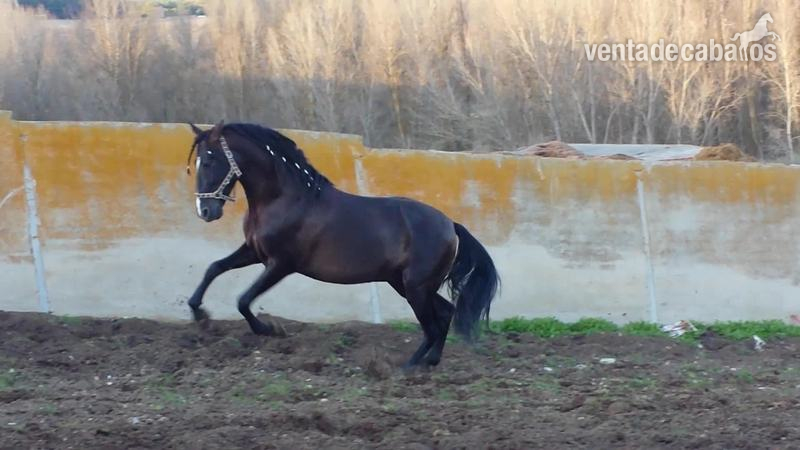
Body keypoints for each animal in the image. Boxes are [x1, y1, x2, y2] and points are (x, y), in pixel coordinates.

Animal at [184, 121, 499, 368]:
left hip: (416, 287)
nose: (205, 211)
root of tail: (450, 225)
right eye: (195, 164)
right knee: (445, 314)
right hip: (407, 284)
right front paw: (199, 313)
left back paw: (407, 368)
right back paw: (429, 362)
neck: (283, 199)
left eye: (209, 161)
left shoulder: (281, 264)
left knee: (433, 325)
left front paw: (269, 329)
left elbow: (243, 300)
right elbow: (214, 268)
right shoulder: (255, 252)